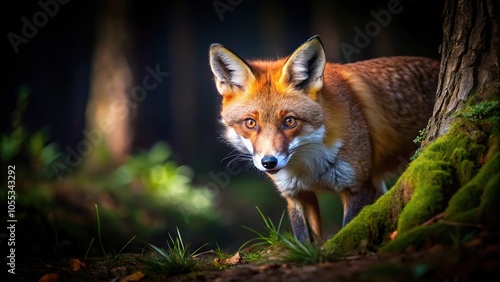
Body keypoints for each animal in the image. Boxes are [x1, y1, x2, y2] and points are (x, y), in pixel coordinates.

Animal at [209, 34, 440, 242]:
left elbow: (348, 229)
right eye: (250, 123)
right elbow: (305, 242)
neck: (309, 167)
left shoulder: (357, 187)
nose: (269, 162)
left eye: (289, 121)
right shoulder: (296, 195)